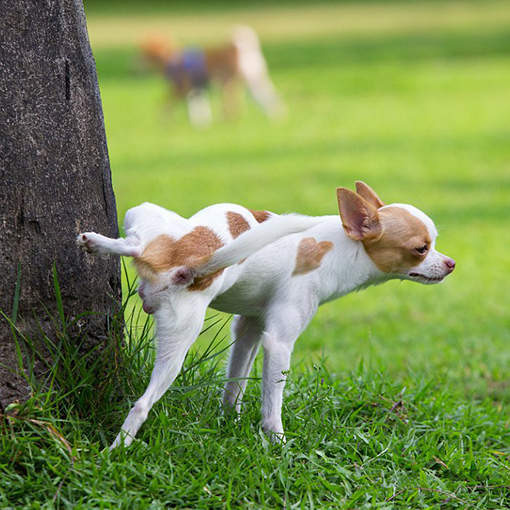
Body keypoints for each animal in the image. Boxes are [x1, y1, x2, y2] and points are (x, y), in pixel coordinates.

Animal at [77, 182, 456, 446]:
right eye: (421, 249)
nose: (451, 263)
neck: (340, 247)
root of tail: (190, 262)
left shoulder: (249, 329)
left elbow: (235, 384)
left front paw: (228, 422)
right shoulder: (278, 342)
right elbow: (272, 404)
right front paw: (277, 444)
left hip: (155, 249)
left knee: (137, 244)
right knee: (141, 404)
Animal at [138, 25, 282, 127]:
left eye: (141, 53)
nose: (135, 64)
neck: (171, 59)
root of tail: (242, 50)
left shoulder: (180, 89)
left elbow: (166, 106)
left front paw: (164, 120)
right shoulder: (196, 90)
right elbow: (199, 108)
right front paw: (201, 123)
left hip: (226, 83)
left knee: (235, 106)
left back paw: (228, 120)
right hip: (253, 82)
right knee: (267, 98)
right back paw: (275, 116)